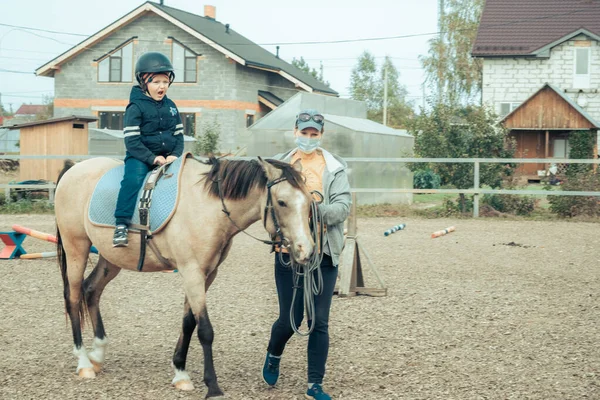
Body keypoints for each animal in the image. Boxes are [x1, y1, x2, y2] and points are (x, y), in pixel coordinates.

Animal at [54, 155, 314, 398]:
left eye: (309, 202)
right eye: (282, 202)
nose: (307, 250)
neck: (208, 207)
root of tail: (74, 168)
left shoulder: (206, 275)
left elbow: (188, 322)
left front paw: (180, 373)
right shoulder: (192, 272)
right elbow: (205, 330)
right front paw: (212, 386)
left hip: (110, 259)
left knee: (91, 290)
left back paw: (97, 354)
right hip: (76, 248)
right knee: (73, 296)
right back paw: (84, 362)